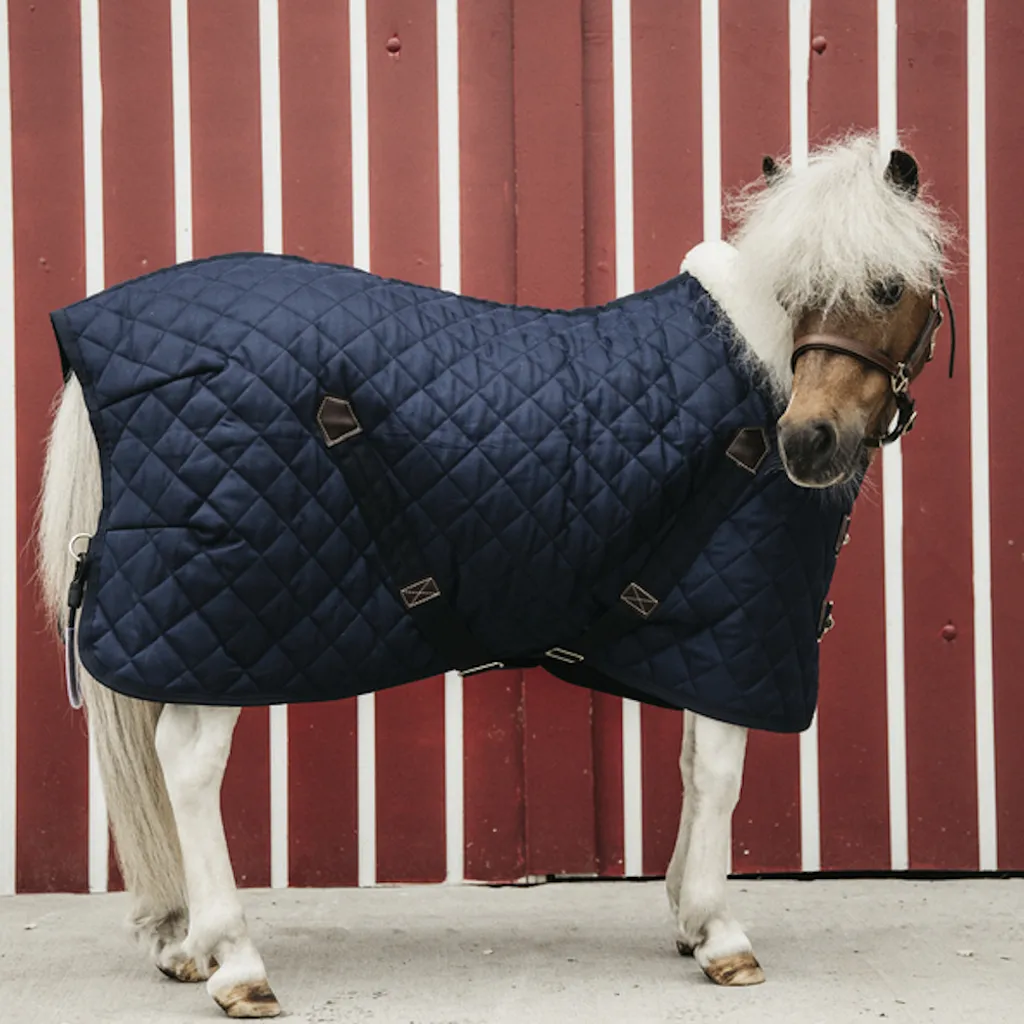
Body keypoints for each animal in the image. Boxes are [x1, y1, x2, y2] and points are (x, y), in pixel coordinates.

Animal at [37, 133, 952, 1018]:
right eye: (795, 289)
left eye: (884, 287)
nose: (808, 443)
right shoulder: (739, 626)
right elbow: (720, 777)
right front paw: (721, 933)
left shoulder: (699, 643)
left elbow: (696, 768)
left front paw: (689, 922)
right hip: (226, 622)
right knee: (189, 767)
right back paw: (235, 961)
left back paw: (188, 947)